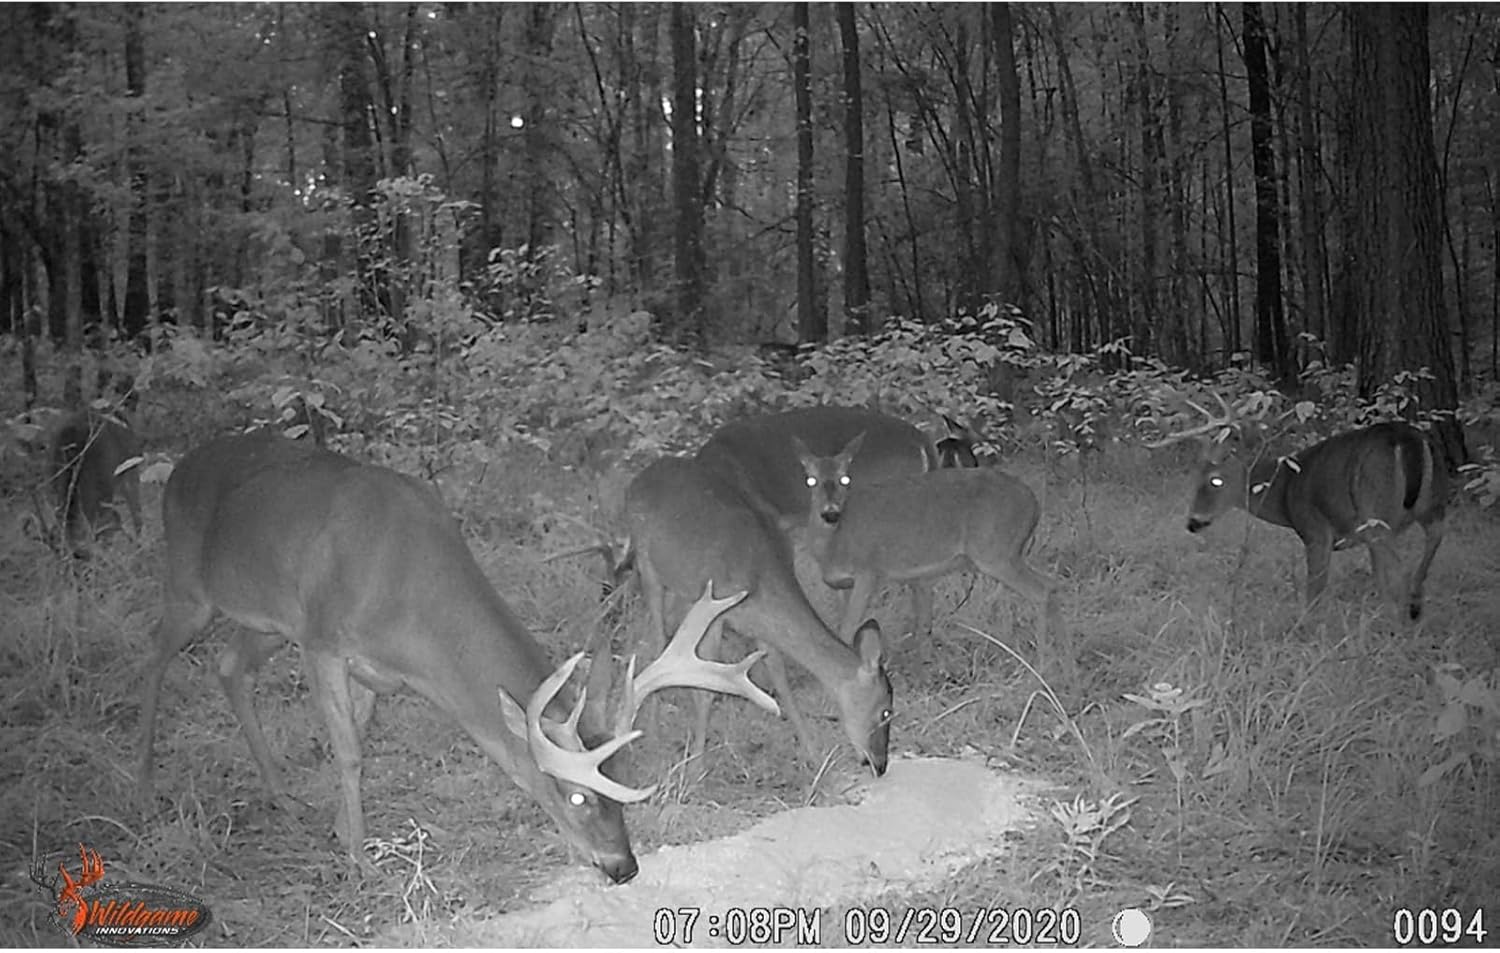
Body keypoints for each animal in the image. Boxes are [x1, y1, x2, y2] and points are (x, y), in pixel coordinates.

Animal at [137, 431, 776, 883]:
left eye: (625, 779)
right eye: (576, 795)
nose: (624, 867)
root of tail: (179, 466)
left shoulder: (373, 669)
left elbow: (358, 739)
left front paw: (340, 832)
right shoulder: (323, 639)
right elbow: (349, 753)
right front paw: (359, 859)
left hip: (267, 621)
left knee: (229, 665)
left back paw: (280, 794)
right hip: (191, 586)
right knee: (154, 655)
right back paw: (143, 780)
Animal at [623, 454, 892, 775]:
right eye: (885, 711)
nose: (880, 763)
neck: (763, 581)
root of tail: (638, 479)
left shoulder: (761, 627)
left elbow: (781, 680)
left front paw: (813, 754)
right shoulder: (716, 610)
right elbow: (707, 691)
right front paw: (696, 768)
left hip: (682, 589)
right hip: (648, 566)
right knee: (657, 639)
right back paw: (650, 730)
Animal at [793, 436, 1069, 681]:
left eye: (845, 478)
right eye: (811, 480)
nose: (830, 513)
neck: (835, 543)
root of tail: (1034, 504)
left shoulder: (869, 571)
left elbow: (847, 629)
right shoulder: (847, 584)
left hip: (995, 551)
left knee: (1041, 592)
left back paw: (1042, 665)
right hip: (1009, 553)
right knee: (1053, 584)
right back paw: (1064, 658)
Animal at [1149, 394, 1448, 619]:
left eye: (1215, 480)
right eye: (1193, 476)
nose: (1193, 522)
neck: (1286, 491)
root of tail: (1407, 439)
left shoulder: (1315, 530)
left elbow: (1314, 590)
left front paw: (1307, 628)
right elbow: (1378, 579)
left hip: (1375, 511)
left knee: (1402, 570)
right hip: (1430, 503)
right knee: (1433, 539)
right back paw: (1415, 607)